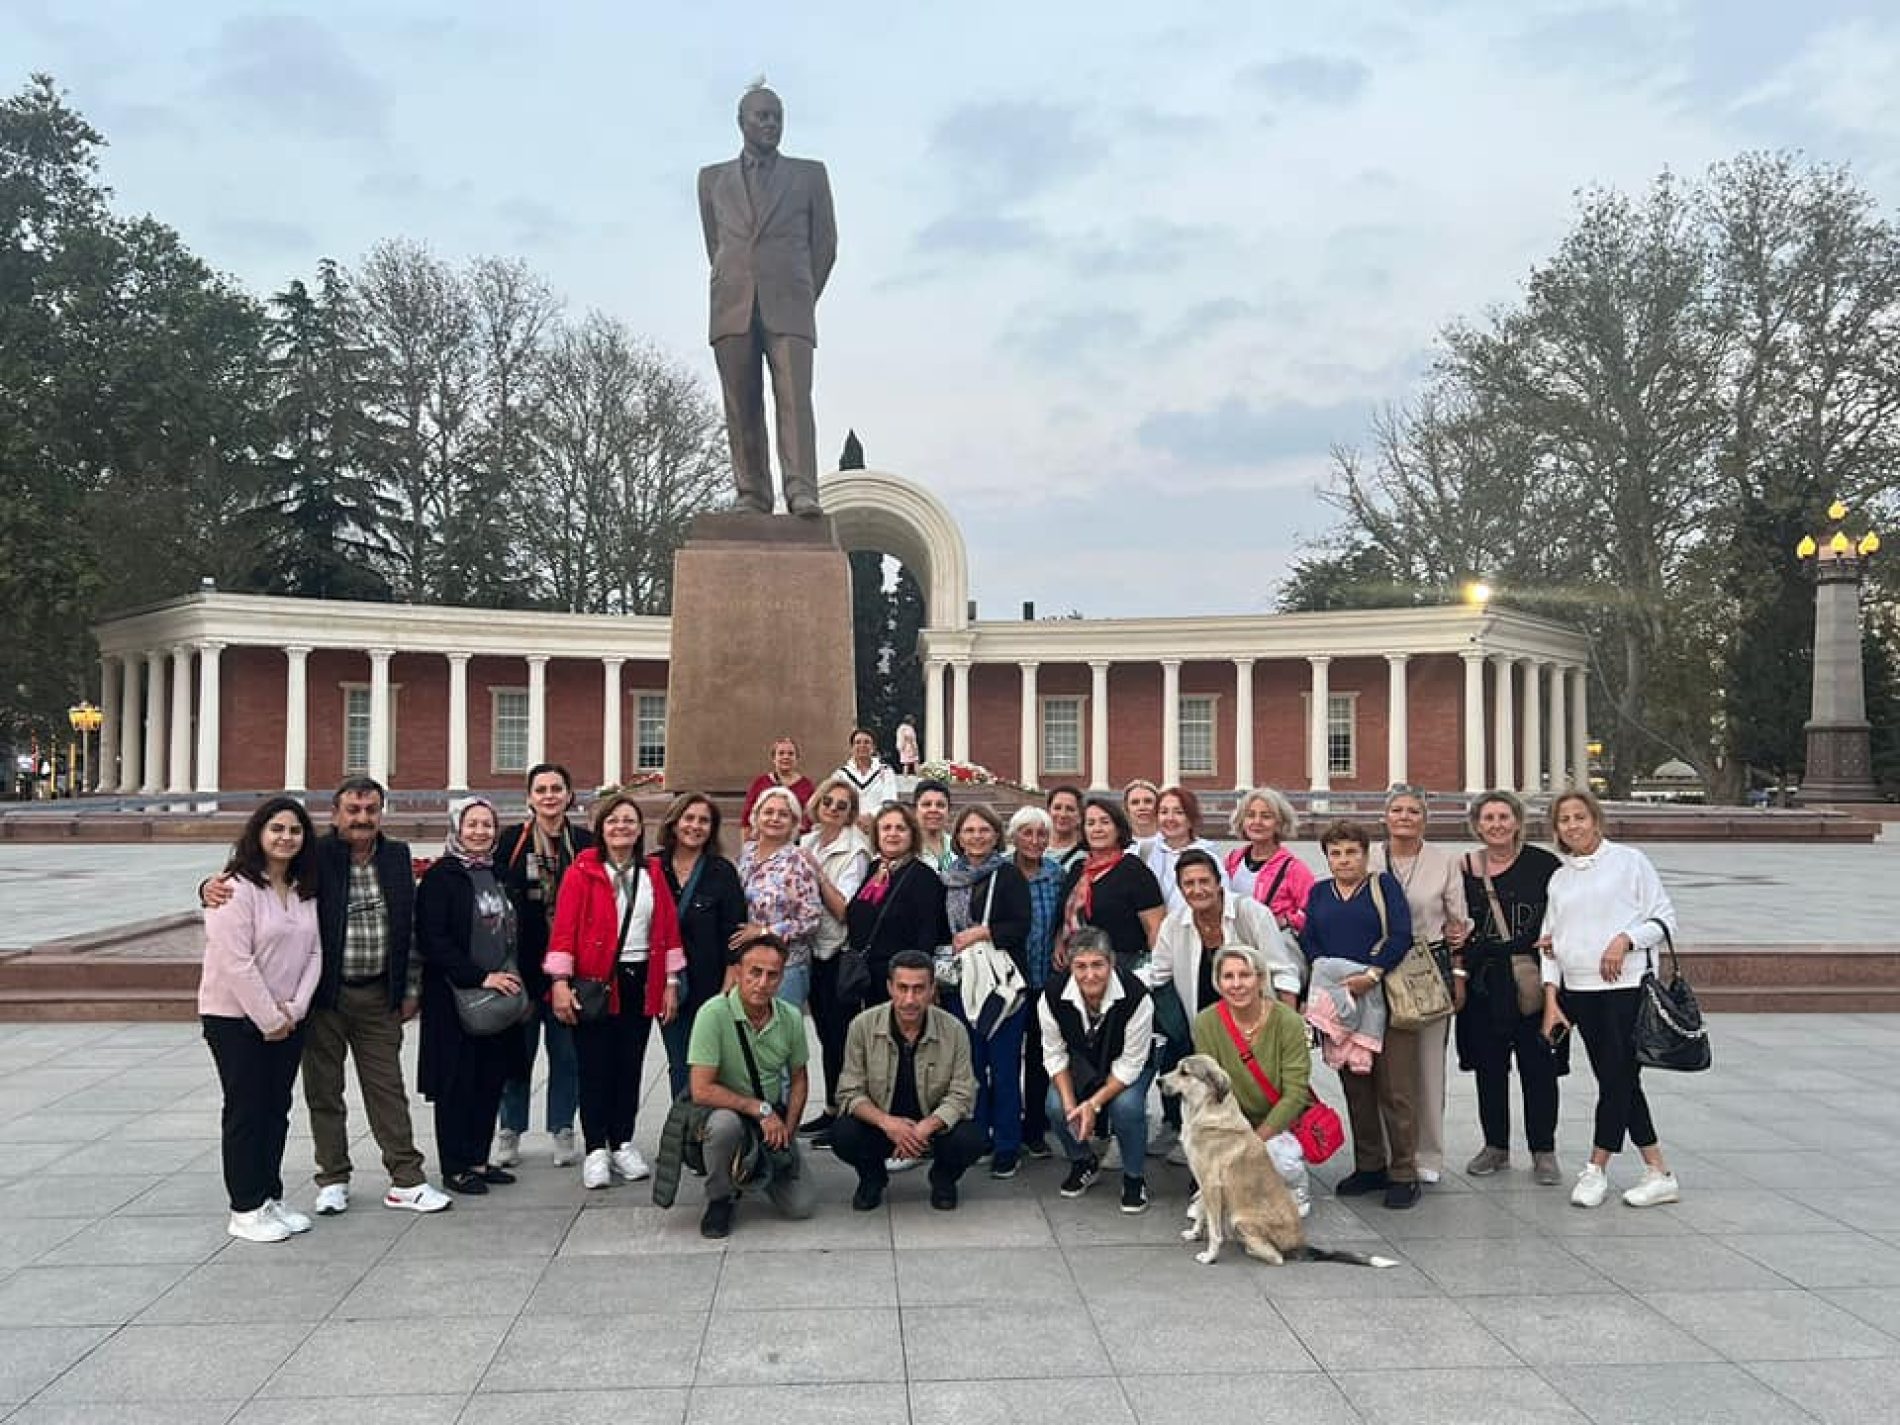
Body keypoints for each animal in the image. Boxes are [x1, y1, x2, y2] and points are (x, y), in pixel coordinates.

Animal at [1155, 1064, 1398, 1269]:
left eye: (1184, 1072)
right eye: (1177, 1067)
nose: (1158, 1081)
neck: (1207, 1110)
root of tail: (1300, 1245)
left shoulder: (1211, 1185)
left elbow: (1214, 1230)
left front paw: (1210, 1256)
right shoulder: (1204, 1183)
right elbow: (1202, 1213)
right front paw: (1194, 1233)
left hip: (1240, 1219)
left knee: (1277, 1257)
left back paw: (1250, 1248)